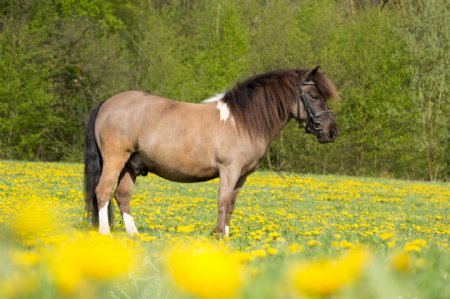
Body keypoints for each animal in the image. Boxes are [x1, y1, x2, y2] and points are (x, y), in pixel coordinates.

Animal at [84, 67, 340, 238]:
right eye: (315, 96)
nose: (332, 132)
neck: (241, 121)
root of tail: (106, 103)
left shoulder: (241, 175)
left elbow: (231, 204)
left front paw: (222, 234)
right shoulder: (229, 170)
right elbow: (223, 202)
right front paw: (221, 237)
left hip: (131, 165)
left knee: (122, 196)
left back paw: (134, 234)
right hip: (116, 159)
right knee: (103, 191)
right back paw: (105, 233)